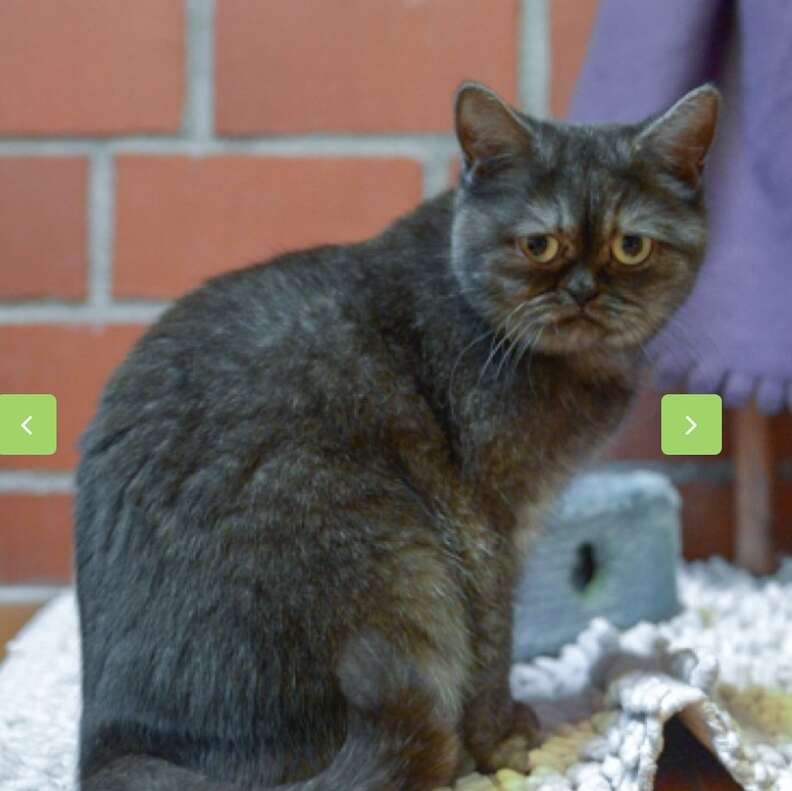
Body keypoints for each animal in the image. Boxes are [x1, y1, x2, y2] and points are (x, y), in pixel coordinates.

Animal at [74, 82, 716, 791]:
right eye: (538, 245)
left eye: (631, 248)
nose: (583, 291)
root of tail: (112, 746)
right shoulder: (485, 525)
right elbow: (494, 638)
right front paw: (501, 742)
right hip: (402, 561)